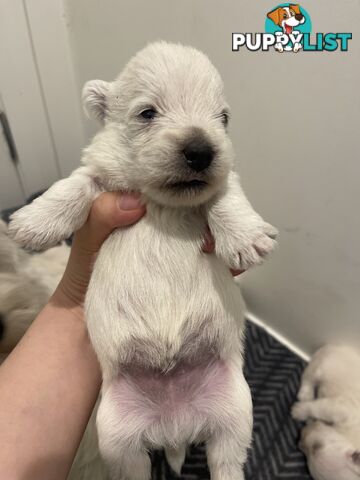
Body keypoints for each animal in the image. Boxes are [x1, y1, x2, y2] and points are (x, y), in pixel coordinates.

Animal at [9, 42, 278, 480]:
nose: (202, 150)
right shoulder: (98, 176)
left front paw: (244, 237)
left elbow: (226, 194)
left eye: (222, 118)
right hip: (117, 434)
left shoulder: (223, 179)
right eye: (147, 113)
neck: (161, 203)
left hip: (236, 412)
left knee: (226, 460)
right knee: (134, 466)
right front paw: (34, 222)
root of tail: (175, 427)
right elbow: (72, 185)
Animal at [292, 344, 360, 480]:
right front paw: (298, 411)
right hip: (323, 365)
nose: (300, 435)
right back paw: (305, 395)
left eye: (315, 448)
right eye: (318, 446)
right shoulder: (342, 408)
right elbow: (316, 408)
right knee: (309, 377)